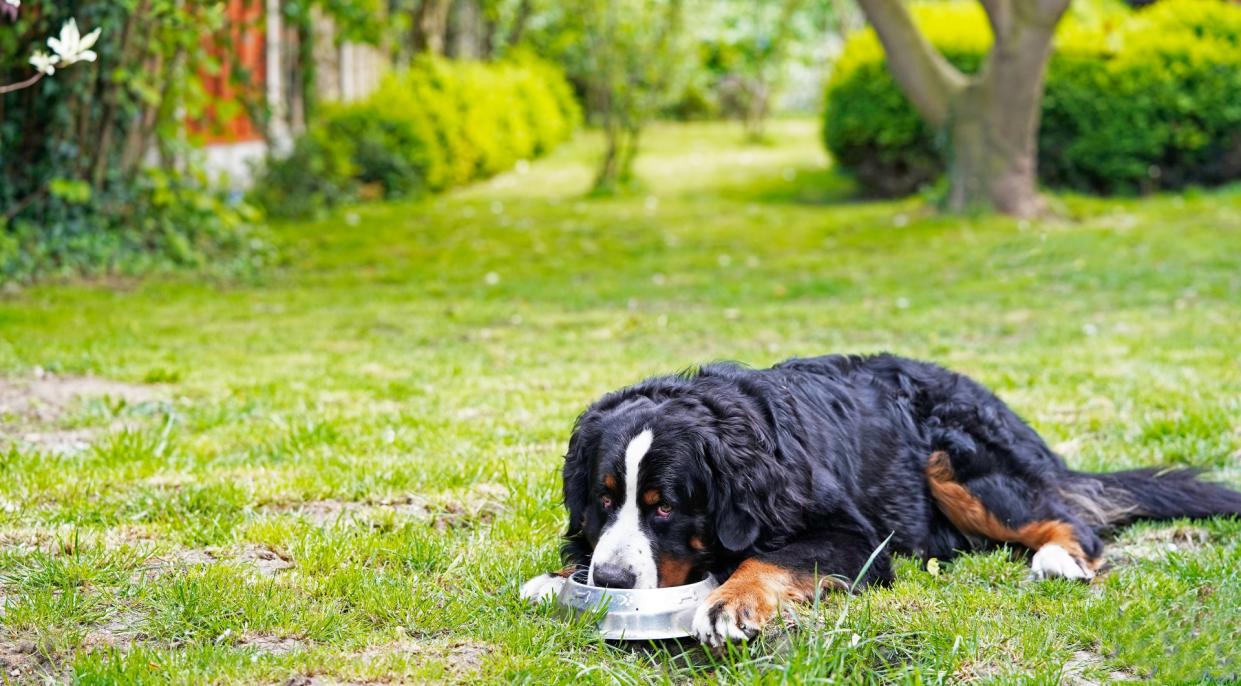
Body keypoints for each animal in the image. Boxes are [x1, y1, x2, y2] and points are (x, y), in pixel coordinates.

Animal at [521, 352, 1241, 645]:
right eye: (605, 500)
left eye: (664, 506)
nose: (612, 581)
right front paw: (557, 576)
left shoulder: (854, 536)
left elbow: (767, 559)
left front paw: (731, 604)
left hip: (954, 461)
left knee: (1068, 520)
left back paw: (1059, 558)